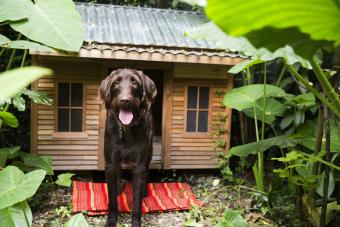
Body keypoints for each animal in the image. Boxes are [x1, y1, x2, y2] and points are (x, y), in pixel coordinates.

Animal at [98, 68, 157, 226]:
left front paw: (136, 222)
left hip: (148, 154)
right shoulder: (111, 164)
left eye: (135, 83)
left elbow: (136, 201)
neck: (126, 130)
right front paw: (111, 221)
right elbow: (112, 199)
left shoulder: (139, 166)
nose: (125, 100)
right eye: (116, 82)